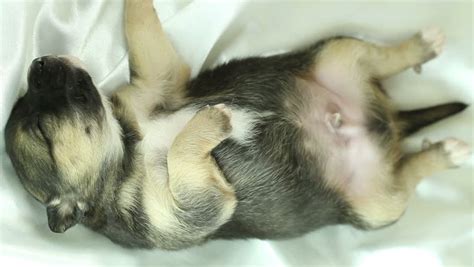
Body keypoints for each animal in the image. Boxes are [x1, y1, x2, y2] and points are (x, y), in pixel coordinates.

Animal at [3, 0, 470, 251]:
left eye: (27, 100)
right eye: (42, 132)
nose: (37, 62)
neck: (127, 145)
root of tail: (388, 125)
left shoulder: (158, 83)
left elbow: (141, 31)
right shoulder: (191, 211)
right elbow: (183, 152)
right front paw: (213, 119)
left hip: (337, 53)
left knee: (381, 57)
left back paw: (421, 46)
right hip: (375, 207)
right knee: (407, 177)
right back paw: (446, 151)